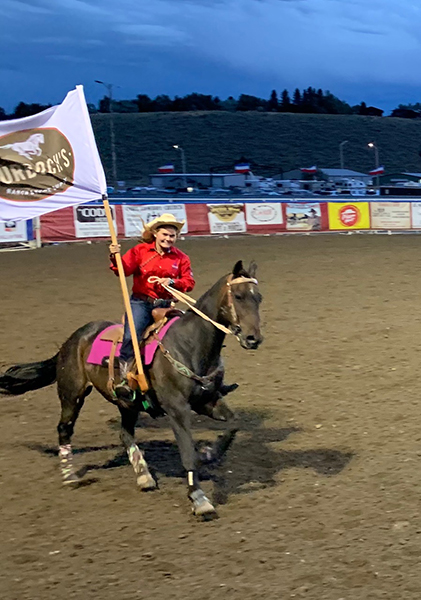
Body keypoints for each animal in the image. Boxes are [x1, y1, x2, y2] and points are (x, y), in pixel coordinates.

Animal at [0, 260, 260, 516]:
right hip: (72, 393)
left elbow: (234, 424)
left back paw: (144, 476)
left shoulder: (207, 400)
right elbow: (187, 453)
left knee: (124, 433)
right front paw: (198, 498)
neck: (189, 344)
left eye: (258, 297)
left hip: (128, 403)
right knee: (64, 429)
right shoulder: (177, 408)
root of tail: (74, 338)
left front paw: (209, 453)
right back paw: (70, 475)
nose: (253, 339)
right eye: (238, 296)